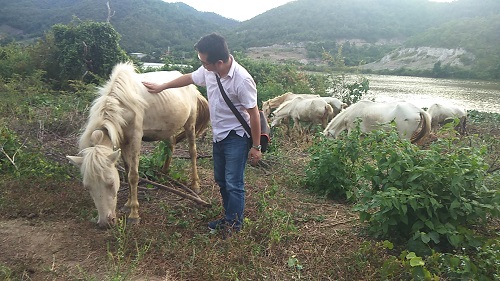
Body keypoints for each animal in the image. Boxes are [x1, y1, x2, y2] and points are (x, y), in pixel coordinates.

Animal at [66, 61, 209, 228]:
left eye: (110, 183)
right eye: (87, 187)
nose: (105, 223)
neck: (121, 104)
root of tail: (192, 87)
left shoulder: (135, 138)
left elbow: (133, 175)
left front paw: (134, 214)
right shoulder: (122, 141)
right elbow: (127, 171)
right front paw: (128, 204)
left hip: (190, 124)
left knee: (192, 152)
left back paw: (195, 185)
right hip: (168, 127)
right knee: (171, 144)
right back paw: (164, 173)